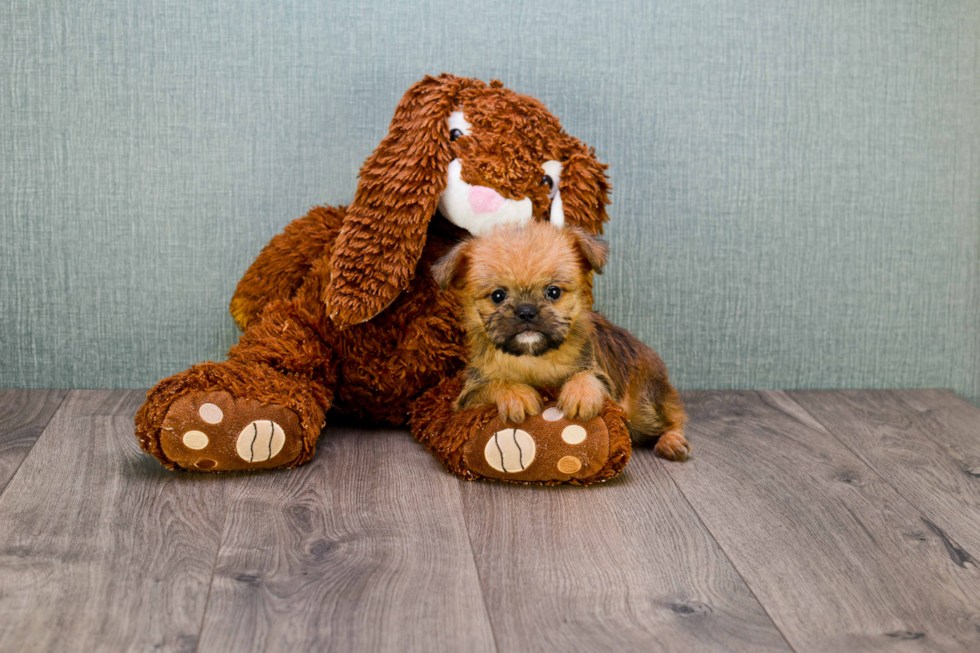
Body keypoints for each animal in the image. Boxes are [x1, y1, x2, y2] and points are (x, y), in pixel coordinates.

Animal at [432, 222, 692, 460]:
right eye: (497, 296)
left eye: (553, 292)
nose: (526, 312)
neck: (533, 357)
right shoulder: (468, 397)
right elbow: (495, 384)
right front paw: (515, 394)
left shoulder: (601, 376)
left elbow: (586, 375)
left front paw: (580, 393)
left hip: (644, 405)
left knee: (674, 416)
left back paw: (672, 440)